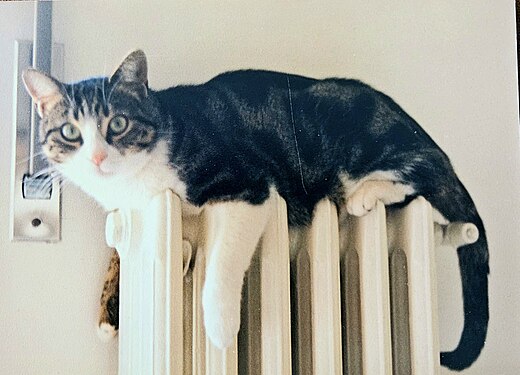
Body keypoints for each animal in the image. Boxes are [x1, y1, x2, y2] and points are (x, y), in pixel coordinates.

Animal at [23, 50, 488, 374]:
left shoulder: (247, 185)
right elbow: (120, 253)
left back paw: (367, 192)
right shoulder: (138, 210)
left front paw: (220, 325)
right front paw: (109, 311)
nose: (98, 158)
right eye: (70, 132)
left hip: (358, 138)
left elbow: (224, 259)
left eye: (117, 124)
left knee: (426, 174)